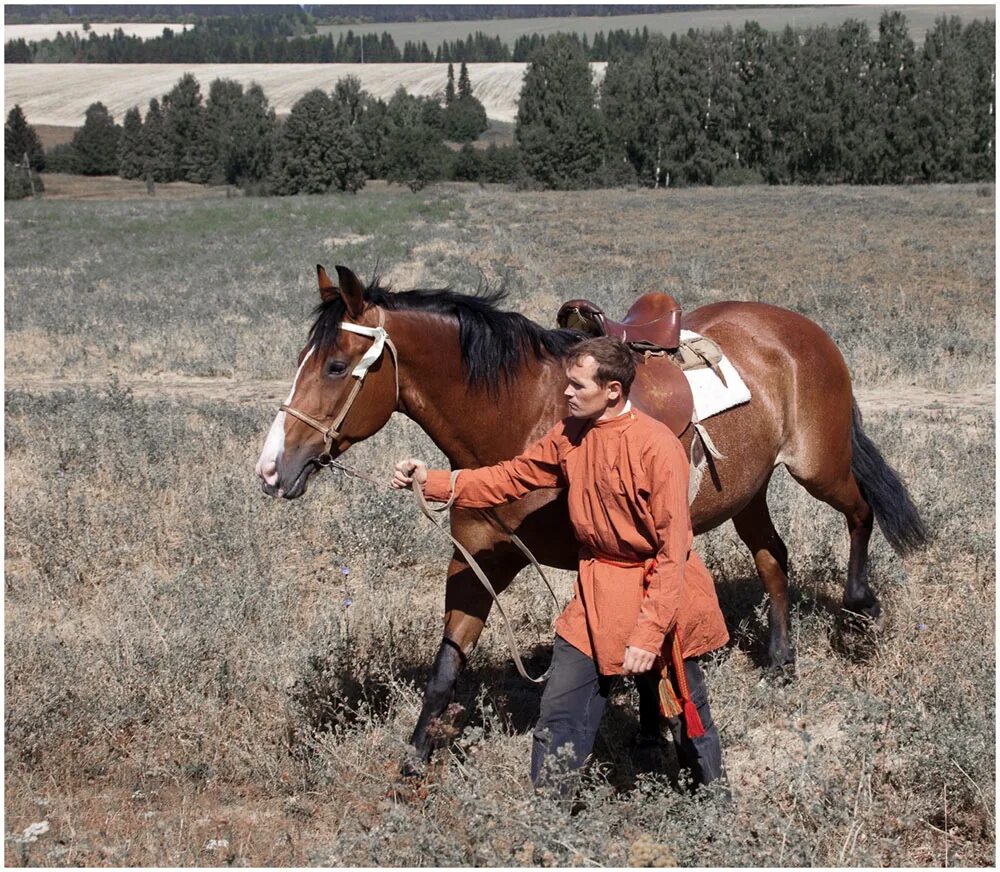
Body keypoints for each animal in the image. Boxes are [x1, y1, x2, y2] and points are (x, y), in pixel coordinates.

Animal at [254, 262, 924, 772]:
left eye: (335, 366)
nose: (271, 469)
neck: (522, 415)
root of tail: (800, 329)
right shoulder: (478, 562)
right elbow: (448, 664)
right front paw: (415, 759)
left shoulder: (601, 558)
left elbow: (629, 644)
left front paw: (651, 733)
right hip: (747, 492)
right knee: (773, 558)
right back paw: (782, 662)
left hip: (819, 466)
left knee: (861, 511)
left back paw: (860, 609)